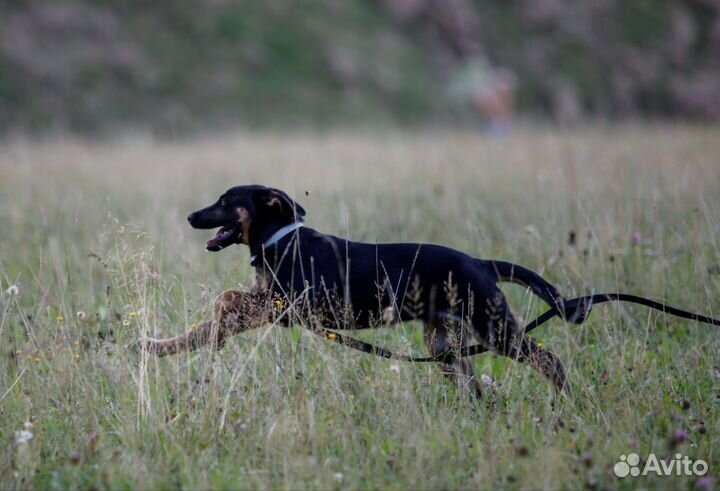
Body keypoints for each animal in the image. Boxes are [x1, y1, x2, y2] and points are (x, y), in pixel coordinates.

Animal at [143, 184, 588, 396]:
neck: (281, 240)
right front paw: (160, 346)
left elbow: (225, 301)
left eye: (223, 201)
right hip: (443, 343)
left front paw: (205, 333)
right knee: (474, 385)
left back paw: (566, 400)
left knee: (548, 359)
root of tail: (480, 263)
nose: (190, 216)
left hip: (493, 327)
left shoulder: (283, 306)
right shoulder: (271, 307)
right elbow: (209, 323)